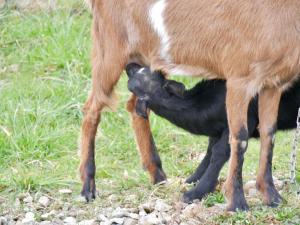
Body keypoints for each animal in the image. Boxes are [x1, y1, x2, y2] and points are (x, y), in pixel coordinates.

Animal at [80, 0, 300, 211]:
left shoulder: (273, 84)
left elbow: (268, 133)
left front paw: (272, 197)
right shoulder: (239, 78)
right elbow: (239, 138)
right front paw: (237, 203)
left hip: (147, 56)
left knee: (134, 106)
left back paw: (157, 175)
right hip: (110, 46)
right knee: (92, 108)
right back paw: (87, 187)